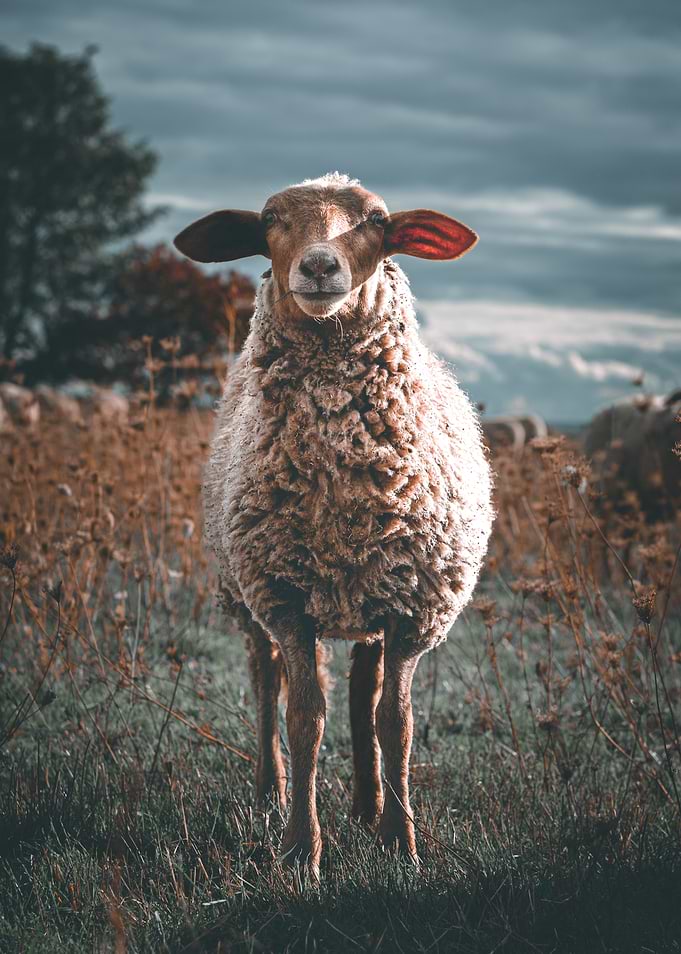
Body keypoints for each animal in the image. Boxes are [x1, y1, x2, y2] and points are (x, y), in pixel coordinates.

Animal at [174, 173, 494, 876]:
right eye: (269, 218)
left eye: (376, 220)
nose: (320, 266)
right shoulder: (286, 599)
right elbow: (303, 720)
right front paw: (301, 851)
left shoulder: (411, 606)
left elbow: (394, 723)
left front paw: (401, 843)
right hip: (253, 594)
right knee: (267, 684)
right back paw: (270, 793)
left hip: (370, 593)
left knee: (360, 693)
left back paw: (368, 808)